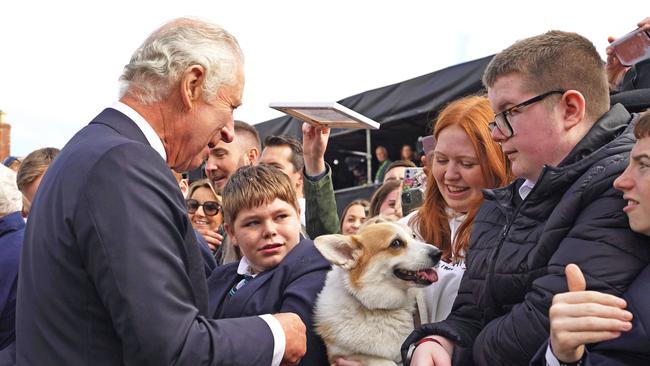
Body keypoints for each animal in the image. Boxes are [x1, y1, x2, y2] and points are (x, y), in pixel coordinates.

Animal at [312, 222, 438, 364]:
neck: (380, 308)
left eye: (414, 236)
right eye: (396, 243)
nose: (438, 253)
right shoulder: (342, 355)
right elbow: (381, 360)